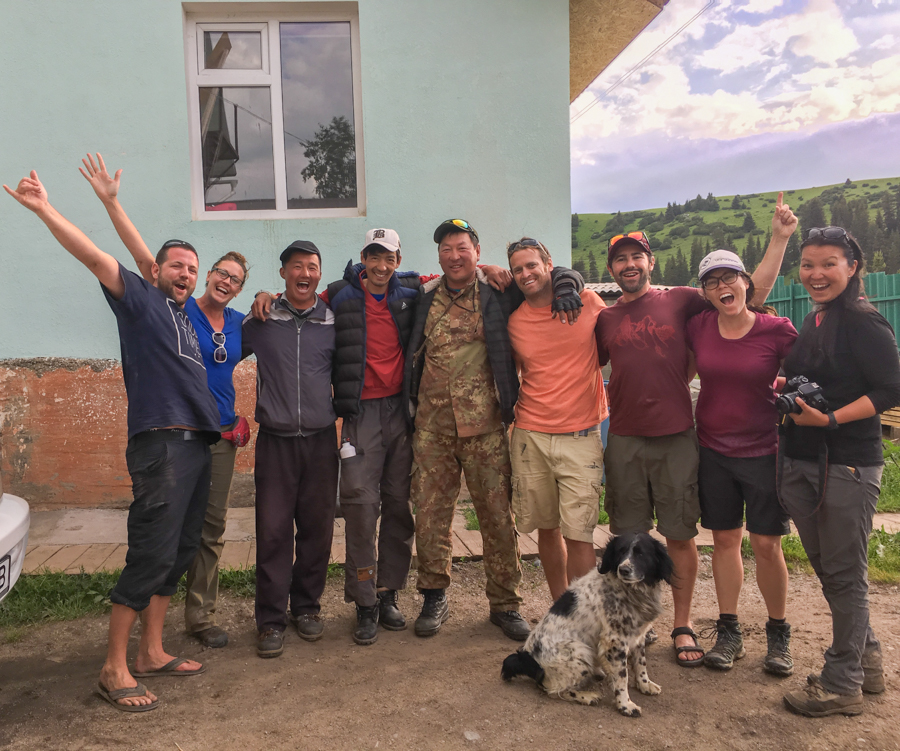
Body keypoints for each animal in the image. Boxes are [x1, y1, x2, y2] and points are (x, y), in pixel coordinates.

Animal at [502, 536, 672, 716]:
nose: (624, 570)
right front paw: (625, 705)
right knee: (552, 690)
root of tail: (528, 659)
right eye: (620, 552)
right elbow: (622, 677)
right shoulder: (614, 642)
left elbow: (641, 663)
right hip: (580, 652)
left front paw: (645, 684)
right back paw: (586, 696)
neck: (629, 591)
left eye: (640, 553)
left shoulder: (638, 635)